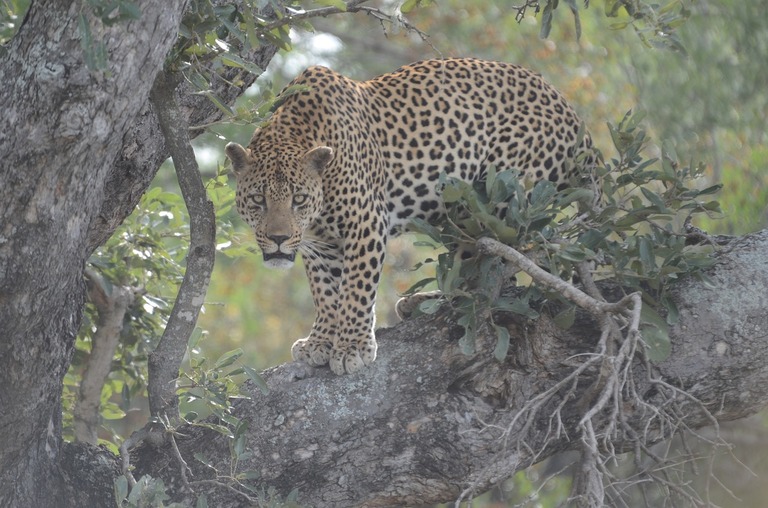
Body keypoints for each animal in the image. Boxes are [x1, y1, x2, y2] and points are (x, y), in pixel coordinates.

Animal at [226, 58, 598, 375]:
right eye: (258, 200)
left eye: (299, 200)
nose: (277, 239)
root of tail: (573, 114)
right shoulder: (318, 244)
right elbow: (326, 291)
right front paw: (321, 340)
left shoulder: (365, 222)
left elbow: (356, 288)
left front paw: (351, 347)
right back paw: (425, 302)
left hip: (503, 196)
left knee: (498, 270)